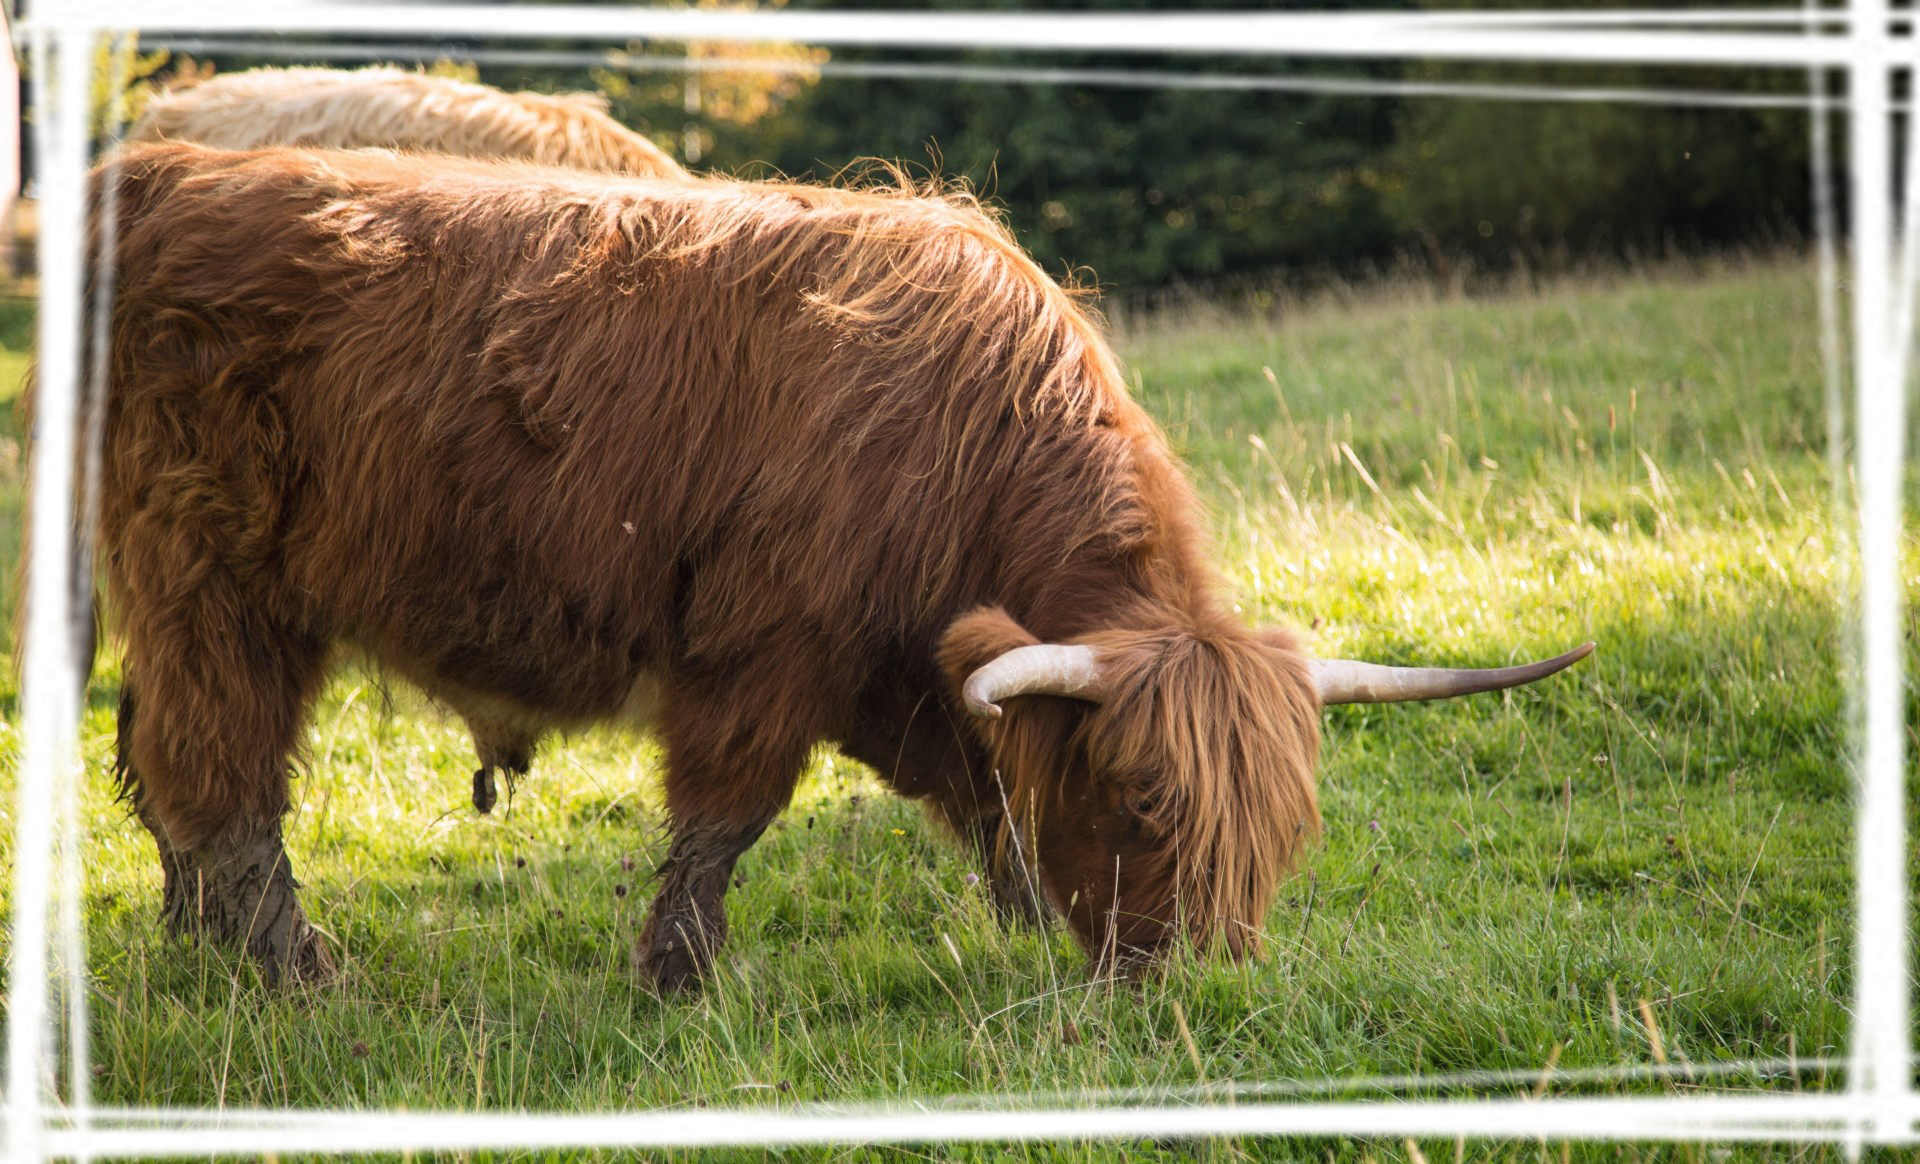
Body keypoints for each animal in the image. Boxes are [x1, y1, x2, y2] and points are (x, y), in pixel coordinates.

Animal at [78, 141, 1589, 991]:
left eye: (1283, 829)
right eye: (1148, 807)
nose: (1207, 991)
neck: (972, 437)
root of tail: (162, 175)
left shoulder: (921, 670)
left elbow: (993, 798)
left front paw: (1026, 928)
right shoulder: (763, 646)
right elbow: (725, 819)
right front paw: (680, 982)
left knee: (157, 759)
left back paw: (193, 957)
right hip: (213, 581)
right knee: (220, 772)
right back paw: (294, 973)